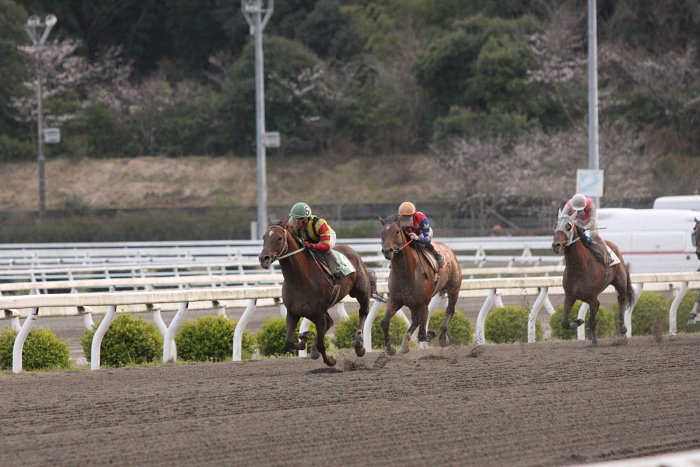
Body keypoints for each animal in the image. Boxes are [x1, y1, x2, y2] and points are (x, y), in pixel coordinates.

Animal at [258, 219, 380, 370]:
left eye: (279, 238)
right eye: (264, 237)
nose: (264, 258)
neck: (300, 279)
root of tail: (353, 252)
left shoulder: (319, 312)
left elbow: (322, 345)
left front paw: (330, 360)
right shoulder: (293, 312)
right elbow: (289, 341)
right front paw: (304, 338)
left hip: (361, 292)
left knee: (363, 312)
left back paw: (359, 344)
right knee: (330, 322)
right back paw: (314, 348)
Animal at [378, 218, 464, 354]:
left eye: (397, 231)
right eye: (382, 233)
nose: (387, 251)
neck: (407, 272)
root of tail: (448, 249)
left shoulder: (423, 303)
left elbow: (422, 334)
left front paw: (431, 333)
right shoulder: (395, 300)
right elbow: (385, 322)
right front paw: (390, 348)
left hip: (453, 289)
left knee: (449, 311)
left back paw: (442, 338)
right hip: (412, 302)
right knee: (415, 319)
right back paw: (405, 342)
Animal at [552, 213, 636, 344]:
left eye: (568, 226)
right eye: (555, 225)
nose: (556, 245)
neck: (578, 268)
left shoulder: (592, 298)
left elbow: (592, 319)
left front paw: (594, 339)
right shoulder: (570, 296)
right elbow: (565, 322)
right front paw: (579, 321)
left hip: (620, 282)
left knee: (621, 300)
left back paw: (622, 328)